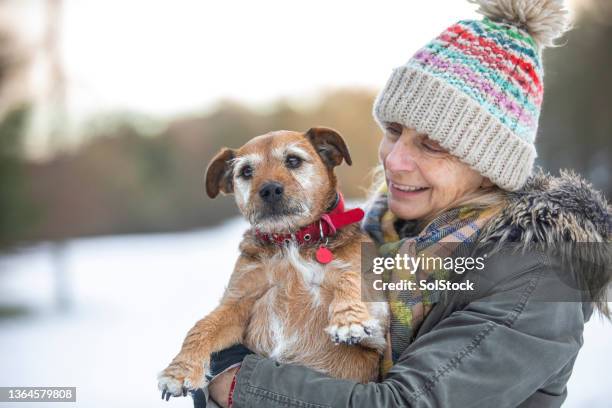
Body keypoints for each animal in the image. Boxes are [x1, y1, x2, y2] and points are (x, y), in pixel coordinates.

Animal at [158, 126, 388, 398]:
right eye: (246, 171)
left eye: (293, 160)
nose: (269, 189)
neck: (291, 240)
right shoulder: (238, 300)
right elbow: (203, 326)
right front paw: (179, 371)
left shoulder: (378, 328)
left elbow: (349, 277)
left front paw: (349, 320)